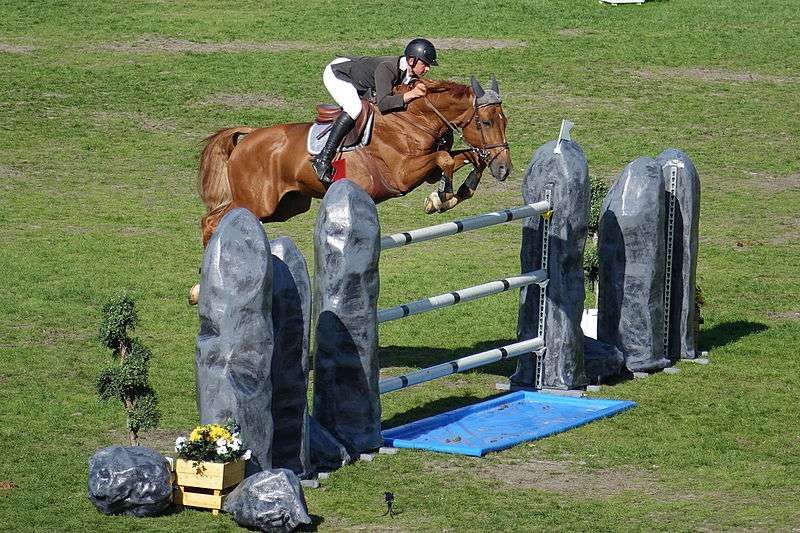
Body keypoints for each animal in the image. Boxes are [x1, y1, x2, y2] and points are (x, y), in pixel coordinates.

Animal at [196, 76, 512, 246]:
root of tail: (249, 137)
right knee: (210, 221)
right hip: (257, 201)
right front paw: (441, 197)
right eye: (485, 122)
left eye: (505, 121)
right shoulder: (402, 175)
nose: (505, 169)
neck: (414, 118)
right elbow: (445, 159)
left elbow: (469, 158)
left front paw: (454, 194)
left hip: (286, 207)